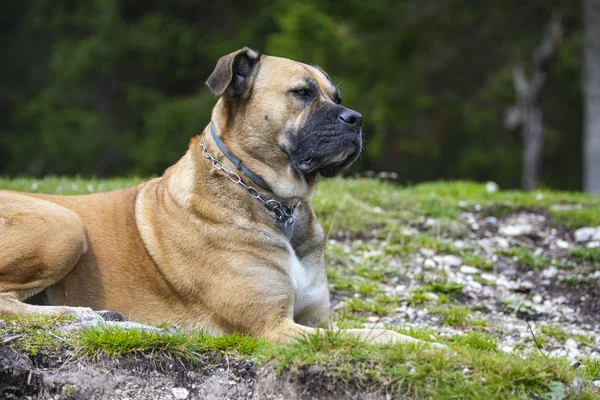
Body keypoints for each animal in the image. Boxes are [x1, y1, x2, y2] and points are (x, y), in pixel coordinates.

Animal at [0, 48, 420, 346]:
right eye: (302, 93)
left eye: (337, 96)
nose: (356, 119)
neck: (273, 201)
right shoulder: (272, 326)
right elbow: (375, 338)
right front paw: (427, 349)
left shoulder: (318, 320)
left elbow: (371, 331)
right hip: (64, 224)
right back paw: (86, 315)